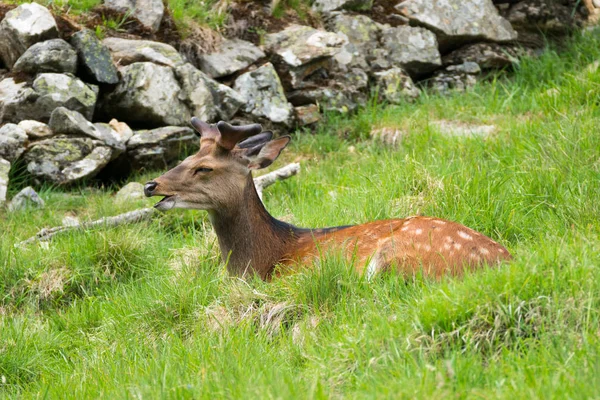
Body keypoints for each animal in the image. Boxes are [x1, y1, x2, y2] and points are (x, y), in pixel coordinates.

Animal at [145, 119, 510, 282]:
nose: (151, 185)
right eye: (187, 157)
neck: (261, 262)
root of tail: (505, 261)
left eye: (204, 167)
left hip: (397, 257)